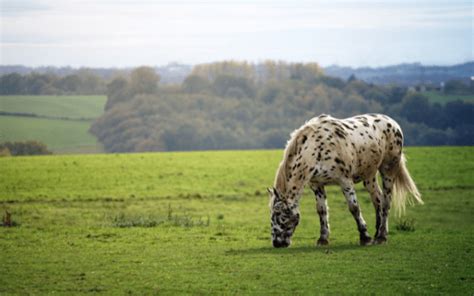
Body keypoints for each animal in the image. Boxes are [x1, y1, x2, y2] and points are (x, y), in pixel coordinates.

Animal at [266, 113, 422, 247]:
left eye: (279, 214)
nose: (277, 243)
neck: (316, 149)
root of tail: (393, 123)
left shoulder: (345, 181)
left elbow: (354, 208)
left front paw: (365, 237)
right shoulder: (317, 185)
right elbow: (321, 210)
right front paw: (323, 239)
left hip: (388, 170)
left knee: (386, 202)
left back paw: (382, 236)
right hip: (369, 176)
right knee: (377, 199)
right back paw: (377, 234)